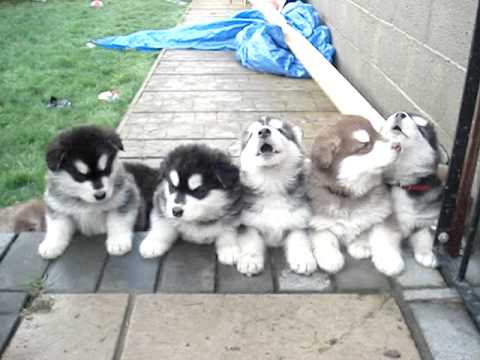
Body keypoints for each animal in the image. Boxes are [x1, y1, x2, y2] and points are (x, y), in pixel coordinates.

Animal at [39, 126, 158, 258]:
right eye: (80, 175)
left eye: (106, 169)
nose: (100, 195)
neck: (87, 204)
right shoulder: (58, 207)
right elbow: (57, 226)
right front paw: (51, 245)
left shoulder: (126, 198)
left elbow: (118, 221)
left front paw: (118, 242)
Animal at [234, 115, 316, 276]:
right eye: (251, 134)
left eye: (280, 130)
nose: (263, 131)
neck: (272, 181)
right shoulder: (248, 223)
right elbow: (251, 241)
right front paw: (250, 260)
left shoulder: (299, 220)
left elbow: (299, 239)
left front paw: (303, 259)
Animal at [306, 115, 404, 276]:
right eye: (365, 145)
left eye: (378, 135)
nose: (398, 145)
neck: (351, 194)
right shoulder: (317, 221)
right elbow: (325, 237)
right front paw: (331, 258)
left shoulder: (385, 213)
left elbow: (383, 237)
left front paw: (388, 260)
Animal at [378, 111, 446, 268]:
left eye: (421, 128)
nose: (399, 114)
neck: (401, 183)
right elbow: (386, 234)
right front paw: (390, 260)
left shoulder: (422, 219)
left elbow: (424, 235)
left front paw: (426, 253)